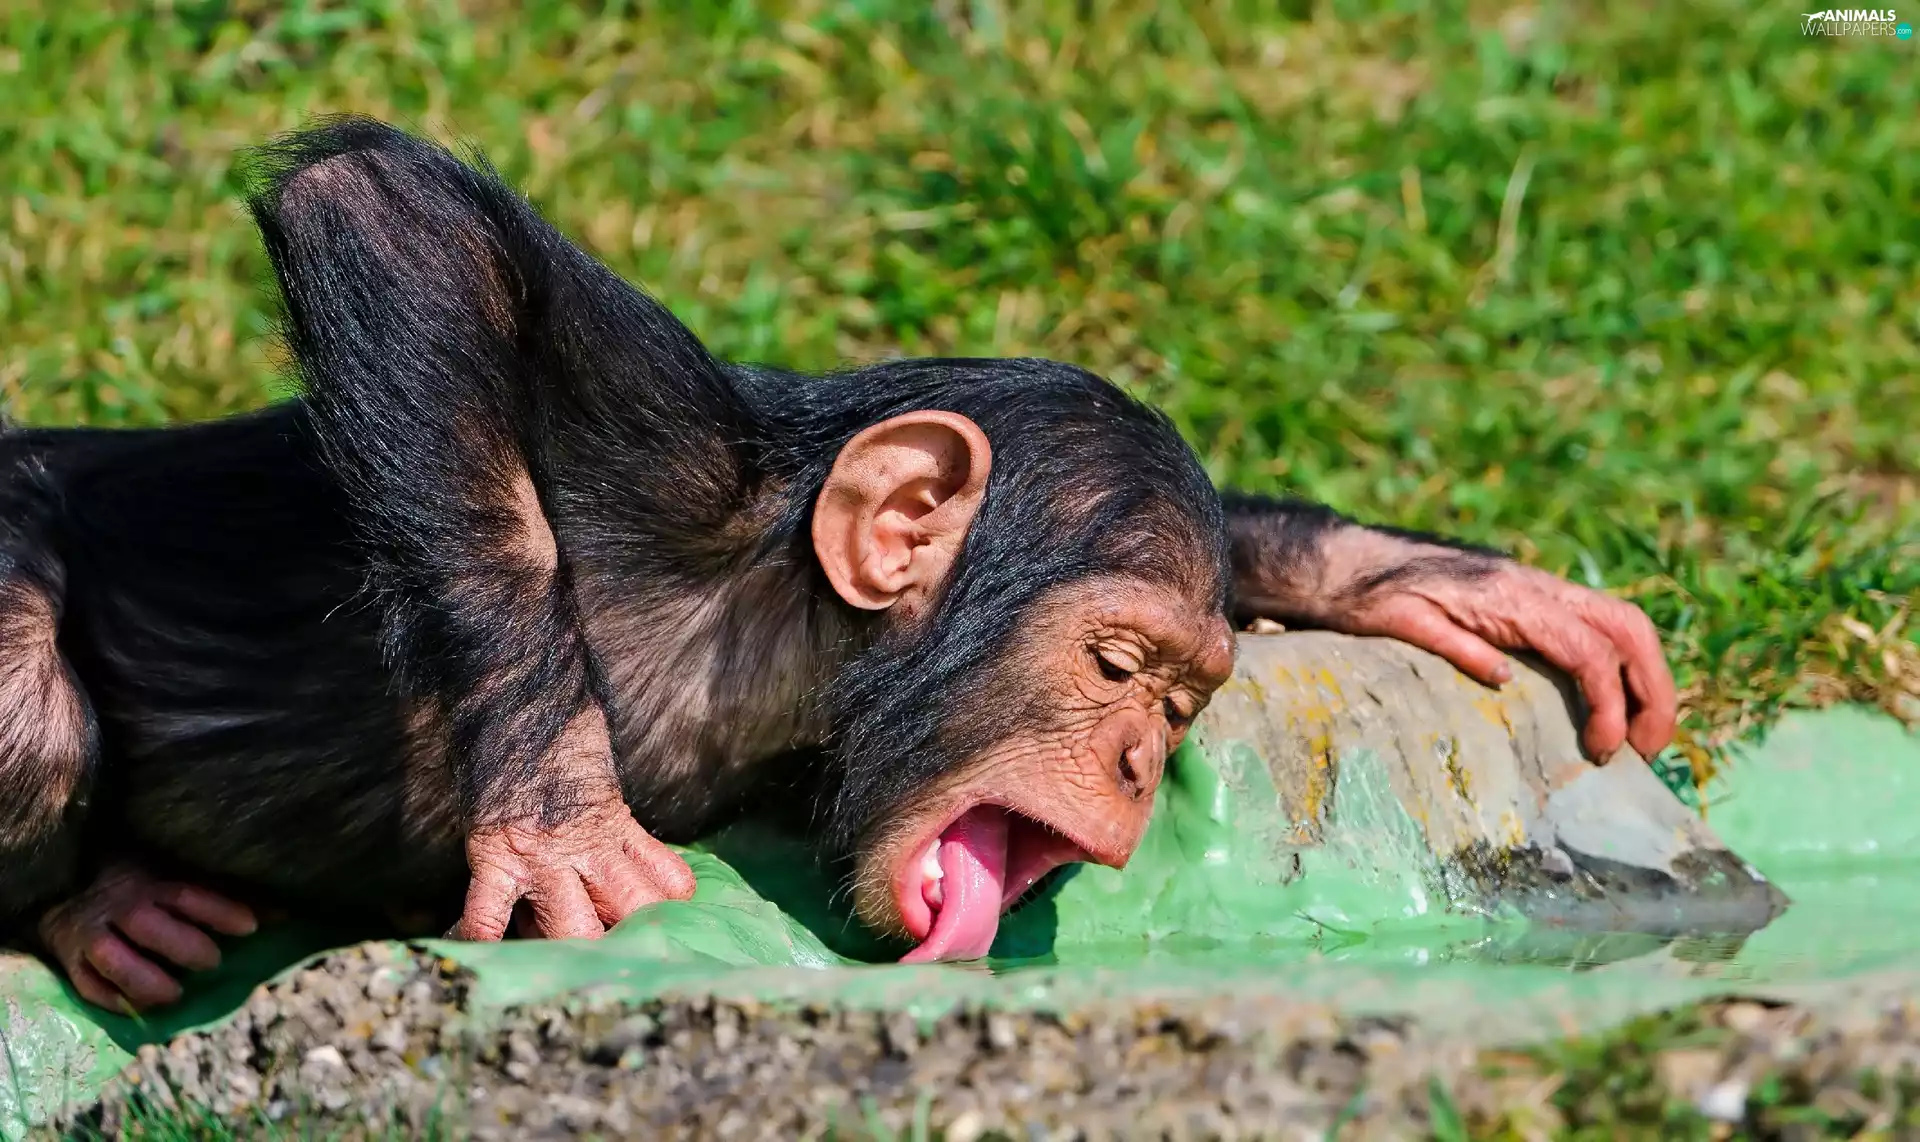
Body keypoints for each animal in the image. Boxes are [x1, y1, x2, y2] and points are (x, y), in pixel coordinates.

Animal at [0, 118, 1676, 1012]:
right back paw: (98, 907)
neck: (781, 637)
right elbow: (386, 218)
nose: (1141, 758)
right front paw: (558, 811)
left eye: (1186, 703)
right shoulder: (663, 451)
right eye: (1120, 665)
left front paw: (1429, 574)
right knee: (30, 696)